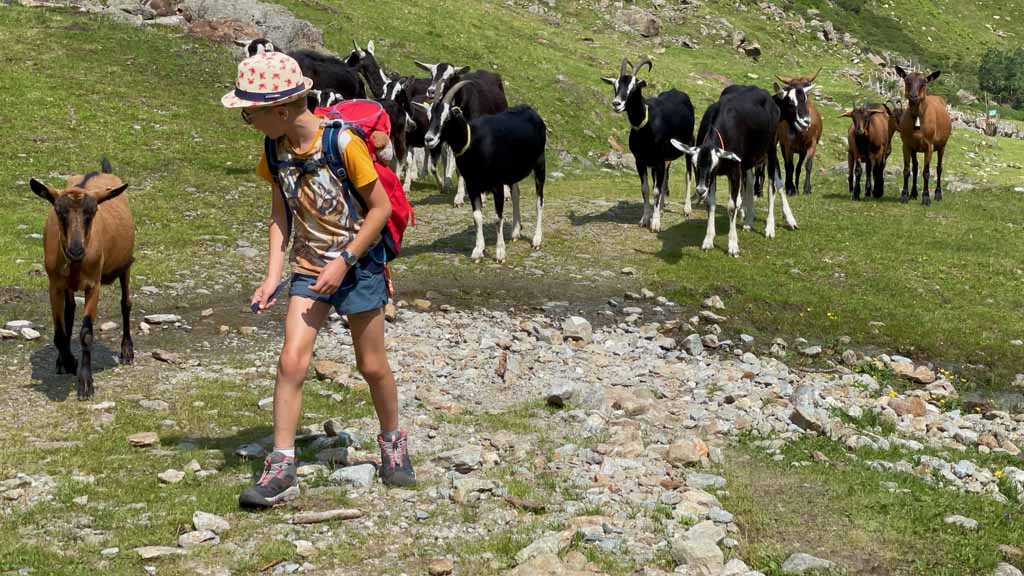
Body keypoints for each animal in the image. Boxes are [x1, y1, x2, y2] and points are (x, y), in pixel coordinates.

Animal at [29, 156, 136, 399]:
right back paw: (62, 360)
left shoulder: (93, 285)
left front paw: (86, 383)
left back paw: (127, 351)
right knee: (69, 311)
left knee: (125, 303)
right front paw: (68, 361)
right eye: (60, 213)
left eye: (92, 213)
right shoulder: (55, 285)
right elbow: (59, 333)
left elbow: (86, 334)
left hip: (126, 264)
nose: (76, 250)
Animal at [417, 79, 544, 262]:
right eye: (430, 116)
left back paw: (537, 239)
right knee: (516, 194)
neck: (474, 141)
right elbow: (477, 217)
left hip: (539, 164)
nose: (429, 139)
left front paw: (500, 253)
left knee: (539, 201)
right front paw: (478, 250)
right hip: (512, 172)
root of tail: (533, 113)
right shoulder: (473, 185)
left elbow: (498, 218)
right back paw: (515, 232)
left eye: (447, 117)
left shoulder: (497, 184)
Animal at [598, 56, 696, 230]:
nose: (617, 104)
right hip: (664, 160)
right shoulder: (641, 161)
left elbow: (656, 190)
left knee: (687, 175)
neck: (647, 125)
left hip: (688, 146)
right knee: (665, 180)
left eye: (634, 87)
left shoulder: (658, 161)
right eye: (615, 85)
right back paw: (662, 207)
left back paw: (686, 209)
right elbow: (645, 189)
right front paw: (645, 218)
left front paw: (655, 222)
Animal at [897, 66, 950, 204]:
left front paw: (926, 198)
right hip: (915, 148)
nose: (913, 96)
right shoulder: (907, 144)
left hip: (942, 145)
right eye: (907, 81)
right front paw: (904, 195)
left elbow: (926, 172)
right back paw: (913, 193)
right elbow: (907, 170)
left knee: (939, 168)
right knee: (915, 167)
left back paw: (938, 194)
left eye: (924, 83)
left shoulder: (929, 146)